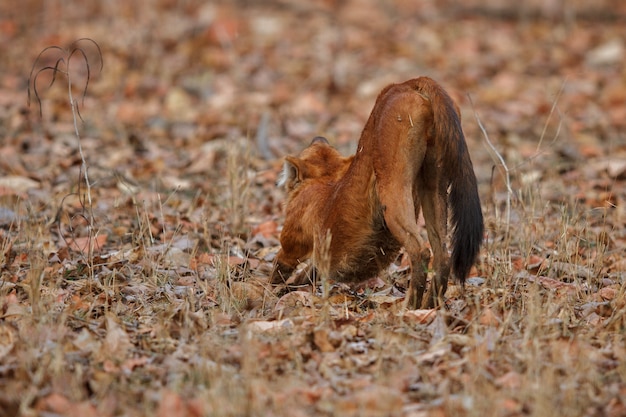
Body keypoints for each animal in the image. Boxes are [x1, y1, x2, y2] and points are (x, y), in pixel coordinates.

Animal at [270, 76, 482, 308]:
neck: (325, 181)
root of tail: (407, 83)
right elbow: (305, 274)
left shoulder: (291, 245)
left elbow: (277, 271)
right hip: (433, 186)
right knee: (443, 255)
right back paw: (429, 308)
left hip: (393, 189)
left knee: (420, 251)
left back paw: (408, 308)